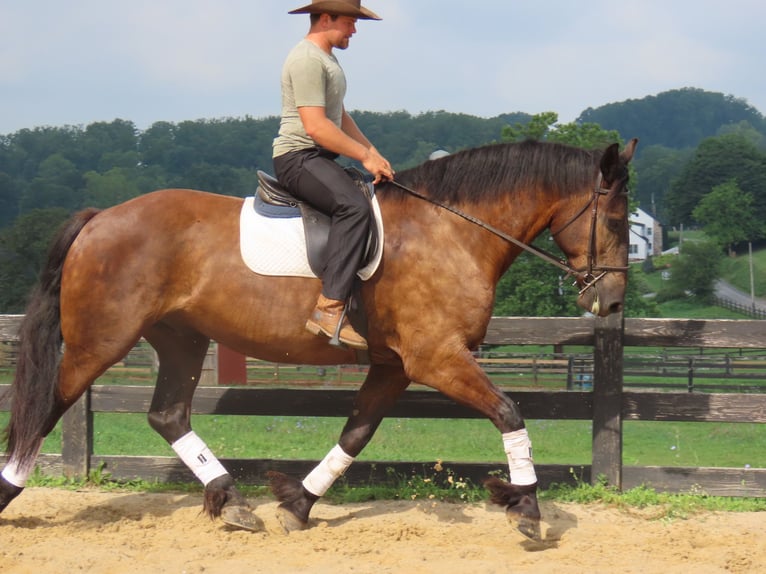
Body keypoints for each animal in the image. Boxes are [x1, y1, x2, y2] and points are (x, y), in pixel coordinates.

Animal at [0, 137, 637, 541]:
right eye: (614, 220)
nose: (612, 302)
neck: (451, 230)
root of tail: (101, 216)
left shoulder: (394, 365)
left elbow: (356, 433)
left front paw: (299, 505)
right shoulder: (436, 358)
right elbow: (509, 411)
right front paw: (525, 507)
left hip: (182, 340)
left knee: (167, 415)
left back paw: (233, 503)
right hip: (99, 342)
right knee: (45, 409)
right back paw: (8, 491)